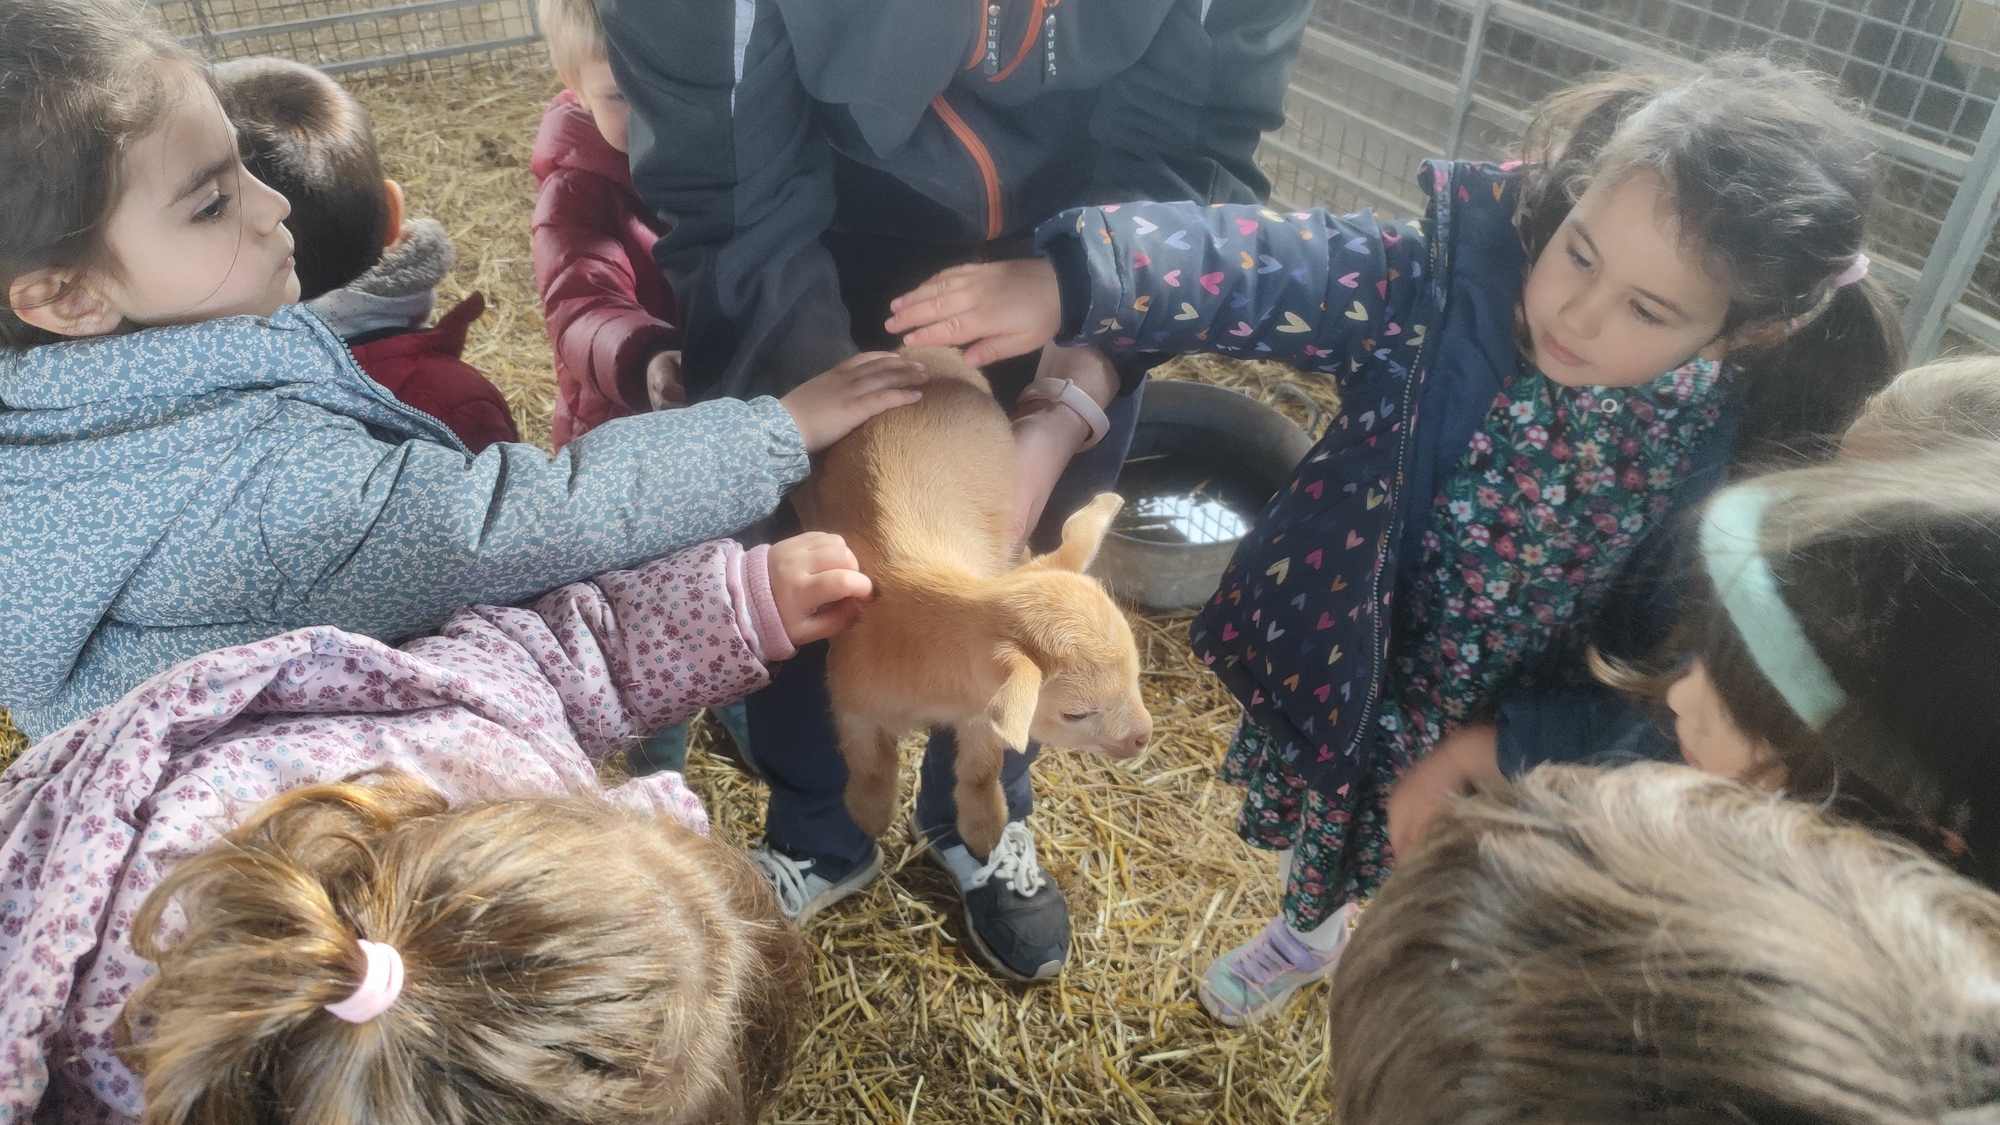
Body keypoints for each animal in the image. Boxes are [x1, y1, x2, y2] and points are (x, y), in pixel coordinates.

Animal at [793, 347, 1153, 858]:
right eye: (1076, 713)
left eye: (1137, 674)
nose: (1142, 738)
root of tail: (926, 353)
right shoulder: (851, 699)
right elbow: (870, 762)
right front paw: (871, 814)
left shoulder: (986, 711)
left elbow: (982, 769)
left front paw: (985, 830)